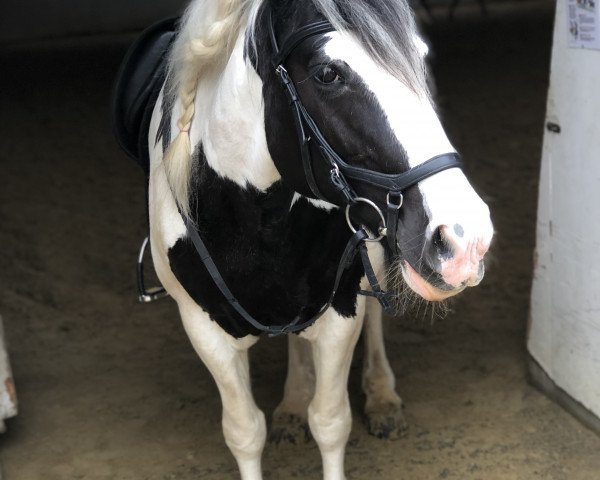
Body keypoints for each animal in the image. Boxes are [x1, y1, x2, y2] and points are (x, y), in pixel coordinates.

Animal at [144, 0, 492, 480]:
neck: (257, 216)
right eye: (328, 74)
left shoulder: (341, 313)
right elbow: (244, 432)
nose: (466, 240)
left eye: (419, 57)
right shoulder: (203, 330)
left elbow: (330, 421)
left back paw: (381, 396)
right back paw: (293, 403)